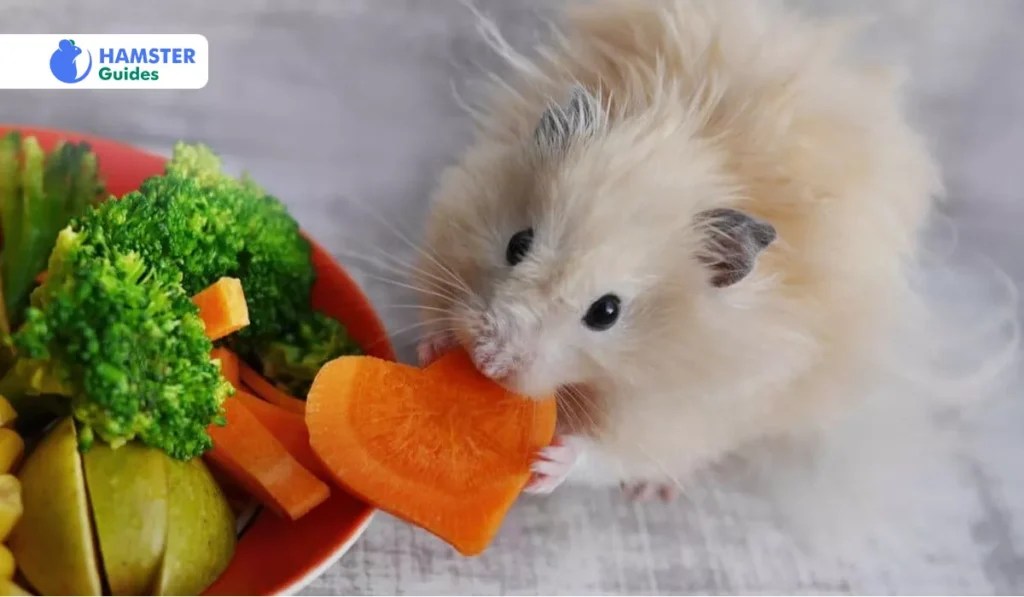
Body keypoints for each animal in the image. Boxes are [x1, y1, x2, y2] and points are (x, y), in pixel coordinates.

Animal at [414, 0, 943, 499]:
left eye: (606, 312)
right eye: (517, 244)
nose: (488, 361)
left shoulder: (682, 412)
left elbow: (615, 453)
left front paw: (548, 463)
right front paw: (433, 346)